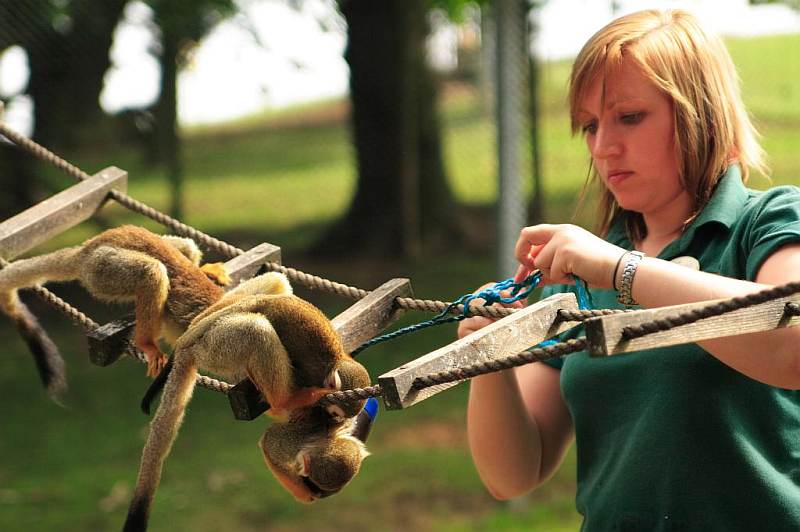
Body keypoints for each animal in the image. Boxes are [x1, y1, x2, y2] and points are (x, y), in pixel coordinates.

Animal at [0, 224, 231, 390]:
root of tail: (87, 247)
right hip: (102, 267)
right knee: (151, 272)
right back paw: (146, 343)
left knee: (187, 248)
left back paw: (205, 270)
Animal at [122, 288, 372, 528]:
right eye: (334, 413)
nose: (334, 422)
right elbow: (272, 444)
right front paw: (302, 493)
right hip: (217, 346)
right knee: (255, 330)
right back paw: (284, 401)